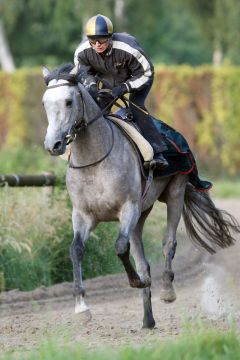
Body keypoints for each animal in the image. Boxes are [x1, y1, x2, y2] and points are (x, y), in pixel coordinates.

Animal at [42, 64, 239, 330]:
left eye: (68, 101)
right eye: (44, 102)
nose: (53, 145)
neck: (95, 160)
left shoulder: (128, 208)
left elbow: (120, 247)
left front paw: (137, 281)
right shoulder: (83, 215)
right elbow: (76, 250)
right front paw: (81, 307)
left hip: (174, 193)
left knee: (169, 243)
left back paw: (166, 290)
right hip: (141, 215)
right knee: (142, 259)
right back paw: (148, 318)